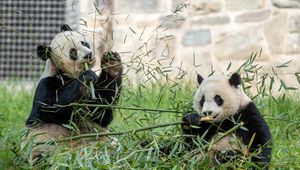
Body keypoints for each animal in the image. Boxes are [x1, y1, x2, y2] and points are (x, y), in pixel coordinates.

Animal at [22, 24, 123, 159]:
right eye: (73, 52)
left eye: (84, 43)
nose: (88, 55)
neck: (66, 74)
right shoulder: (46, 84)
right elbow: (50, 108)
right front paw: (86, 76)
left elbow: (100, 113)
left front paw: (112, 64)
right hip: (42, 147)